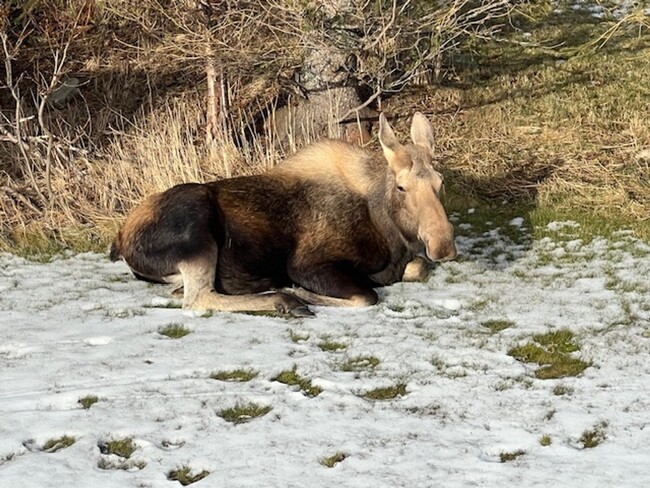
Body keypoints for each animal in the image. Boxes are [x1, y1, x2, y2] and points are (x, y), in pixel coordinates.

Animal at [110, 112, 456, 314]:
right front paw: (296, 291)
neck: (388, 231)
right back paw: (284, 300)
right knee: (197, 299)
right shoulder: (308, 264)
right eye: (401, 187)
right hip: (197, 228)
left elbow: (419, 268)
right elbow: (366, 296)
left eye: (440, 182)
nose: (442, 245)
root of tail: (121, 240)